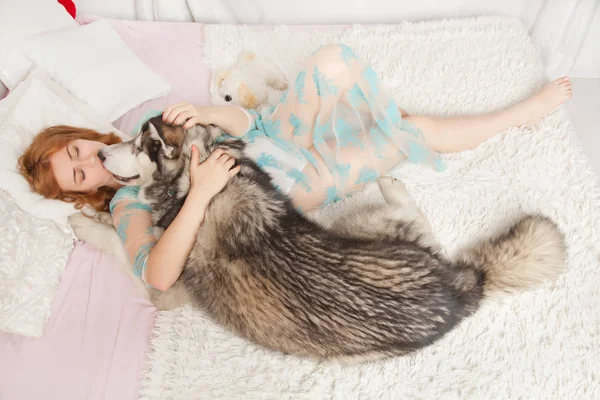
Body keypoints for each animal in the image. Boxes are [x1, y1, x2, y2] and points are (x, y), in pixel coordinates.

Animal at [91, 116, 564, 362]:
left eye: (138, 144)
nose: (99, 152)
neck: (203, 176)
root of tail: (462, 287)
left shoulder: (166, 289)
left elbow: (121, 250)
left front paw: (88, 224)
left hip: (353, 221)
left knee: (409, 213)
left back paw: (392, 184)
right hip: (377, 231)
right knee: (421, 223)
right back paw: (396, 186)